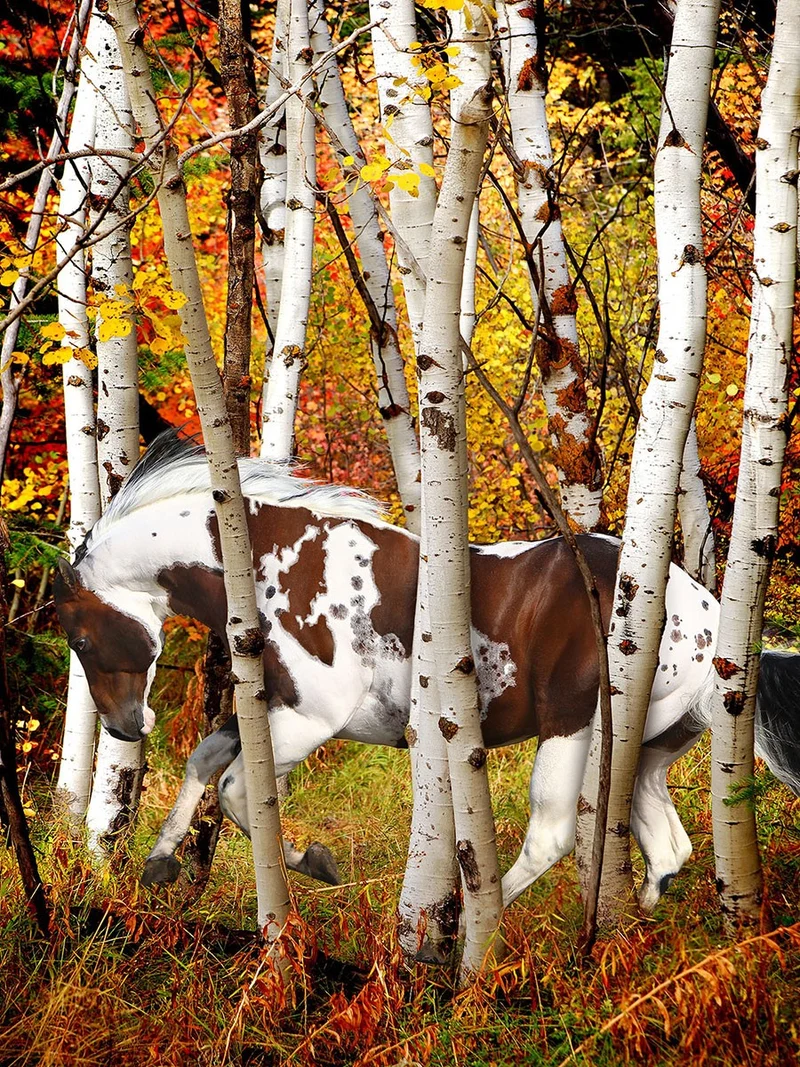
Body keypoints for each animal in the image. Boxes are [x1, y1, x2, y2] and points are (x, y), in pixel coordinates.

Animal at [54, 432, 800, 914]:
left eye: (81, 637)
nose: (125, 725)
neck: (273, 566)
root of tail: (706, 615)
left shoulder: (311, 717)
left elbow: (237, 791)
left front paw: (314, 862)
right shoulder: (274, 707)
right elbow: (203, 761)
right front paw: (160, 858)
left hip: (571, 726)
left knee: (552, 834)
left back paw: (460, 932)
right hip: (647, 745)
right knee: (669, 850)